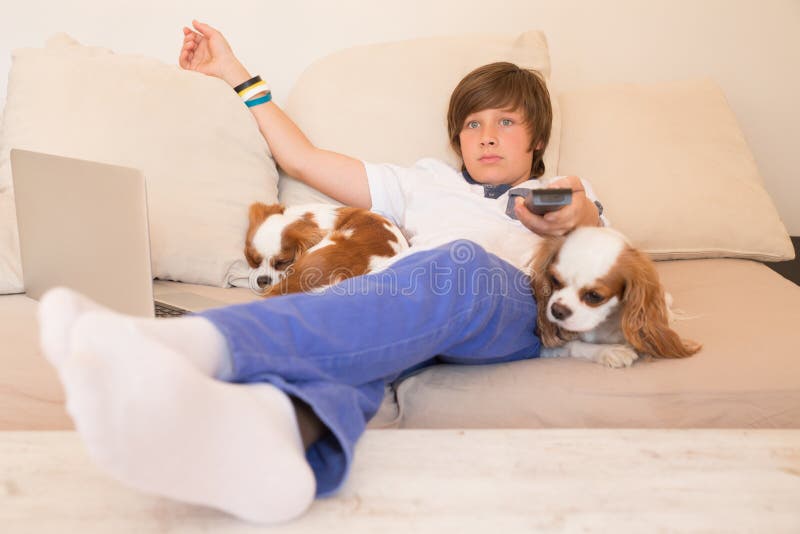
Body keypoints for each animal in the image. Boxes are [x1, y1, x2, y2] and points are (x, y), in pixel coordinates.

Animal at [532, 226, 700, 368]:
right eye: (554, 280)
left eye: (594, 296)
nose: (557, 310)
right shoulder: (545, 348)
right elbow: (573, 345)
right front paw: (608, 351)